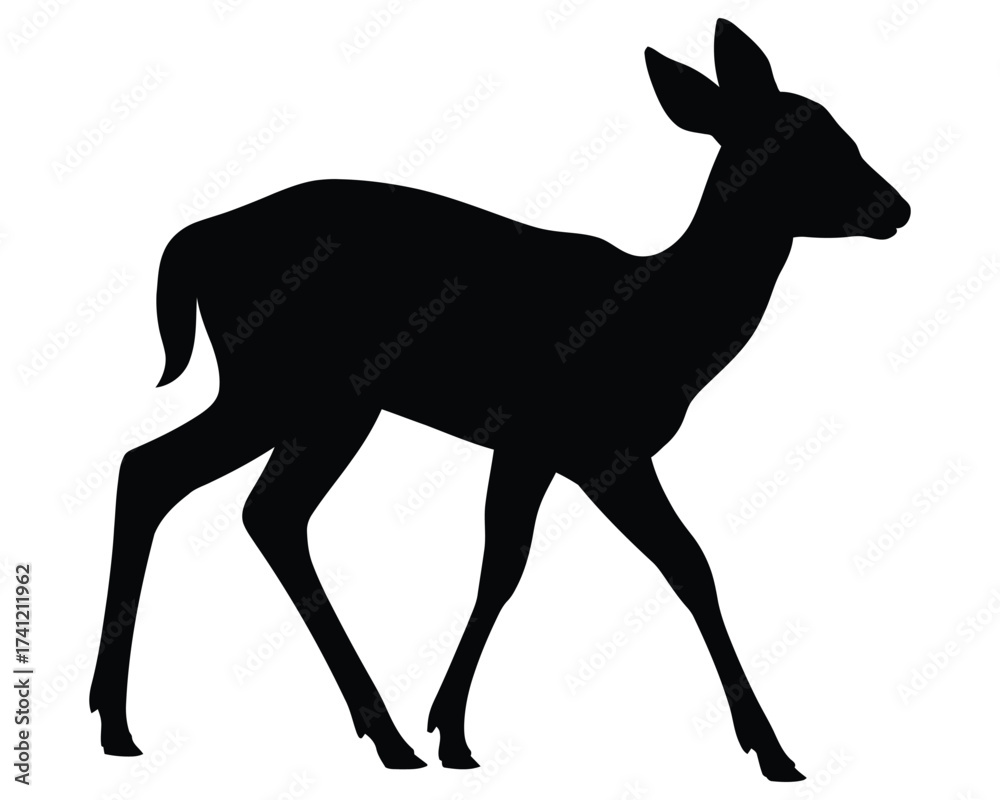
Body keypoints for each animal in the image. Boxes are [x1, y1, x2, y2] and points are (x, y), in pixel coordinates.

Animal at [89, 19, 910, 782]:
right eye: (805, 148)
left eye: (839, 130)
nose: (896, 208)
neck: (662, 329)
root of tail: (194, 240)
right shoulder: (587, 442)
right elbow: (672, 566)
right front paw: (774, 751)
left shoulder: (539, 449)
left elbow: (517, 567)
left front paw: (448, 731)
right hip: (293, 388)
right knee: (197, 484)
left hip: (304, 399)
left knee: (207, 489)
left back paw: (138, 723)